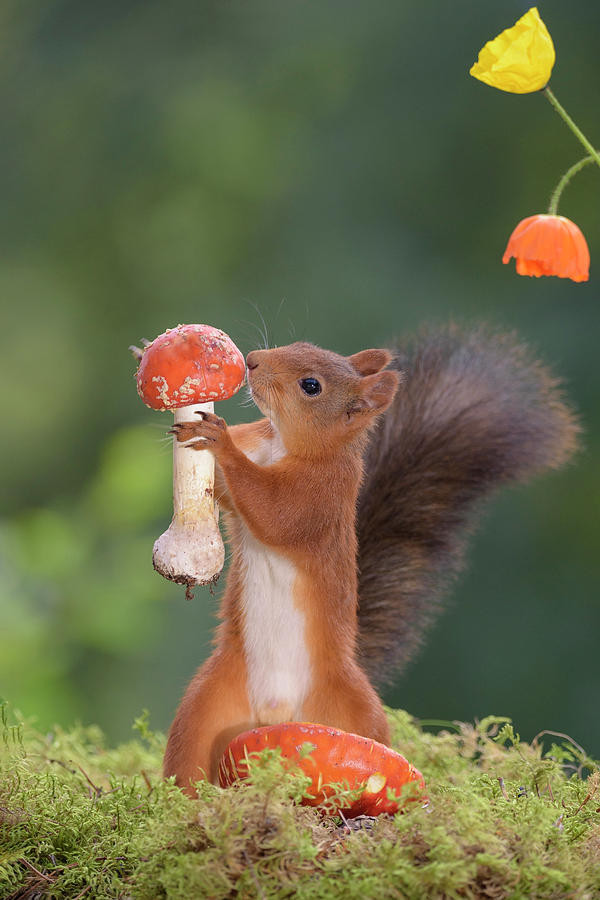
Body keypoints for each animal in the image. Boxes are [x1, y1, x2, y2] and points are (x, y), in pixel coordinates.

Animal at [162, 324, 579, 792]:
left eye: (311, 386)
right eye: (302, 345)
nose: (251, 360)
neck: (284, 445)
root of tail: (275, 712)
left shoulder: (322, 497)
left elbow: (274, 513)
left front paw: (220, 439)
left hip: (354, 712)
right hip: (208, 709)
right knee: (190, 756)